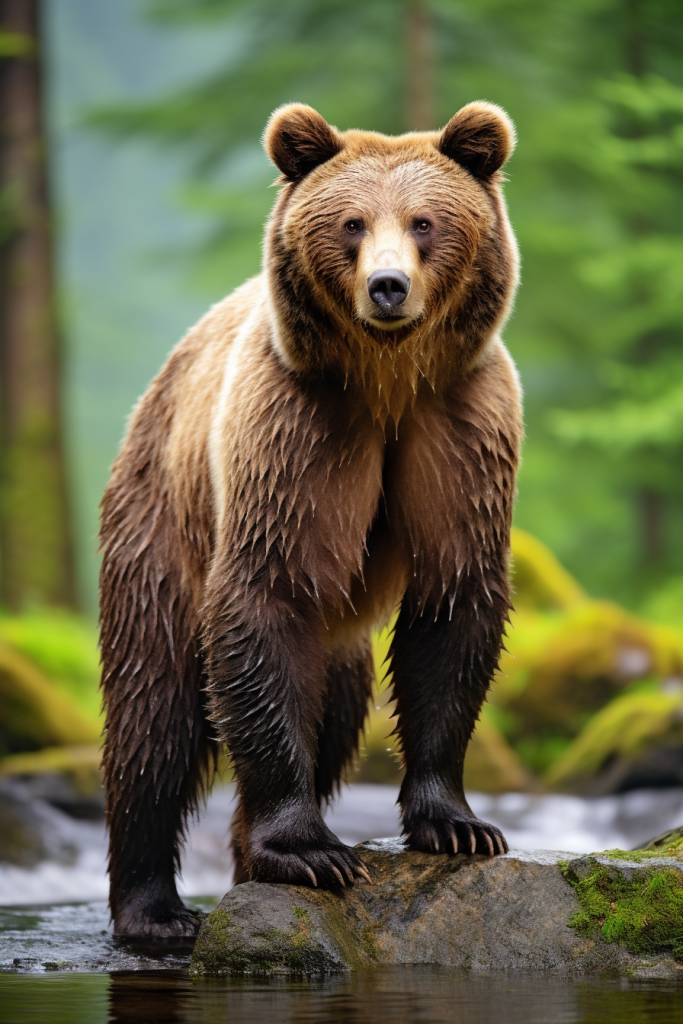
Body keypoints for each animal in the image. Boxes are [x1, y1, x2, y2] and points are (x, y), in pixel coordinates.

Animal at [99, 100, 522, 938]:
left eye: (424, 222)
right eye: (352, 223)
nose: (388, 287)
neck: (387, 379)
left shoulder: (458, 423)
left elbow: (452, 605)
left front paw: (458, 825)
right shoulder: (297, 428)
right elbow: (268, 593)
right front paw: (308, 851)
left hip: (338, 642)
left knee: (334, 713)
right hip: (159, 519)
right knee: (152, 714)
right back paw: (155, 910)